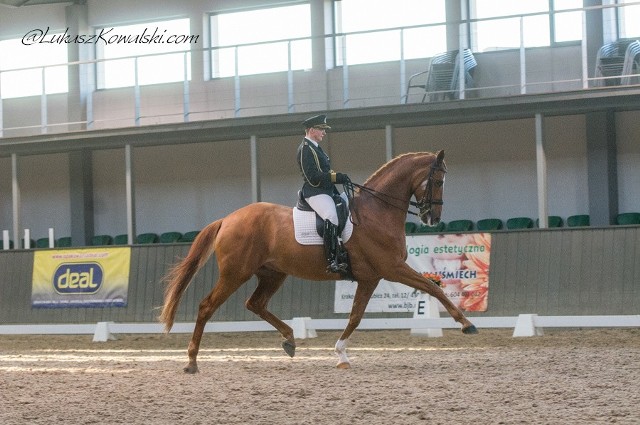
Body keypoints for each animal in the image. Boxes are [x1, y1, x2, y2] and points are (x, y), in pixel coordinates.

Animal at [160, 150, 478, 372]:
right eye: (438, 180)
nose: (432, 218)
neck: (377, 212)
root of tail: (227, 219)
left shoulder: (370, 277)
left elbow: (356, 316)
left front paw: (341, 355)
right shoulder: (391, 269)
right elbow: (433, 288)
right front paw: (467, 325)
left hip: (272, 274)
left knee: (255, 304)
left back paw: (289, 339)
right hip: (235, 273)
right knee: (207, 306)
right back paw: (191, 362)